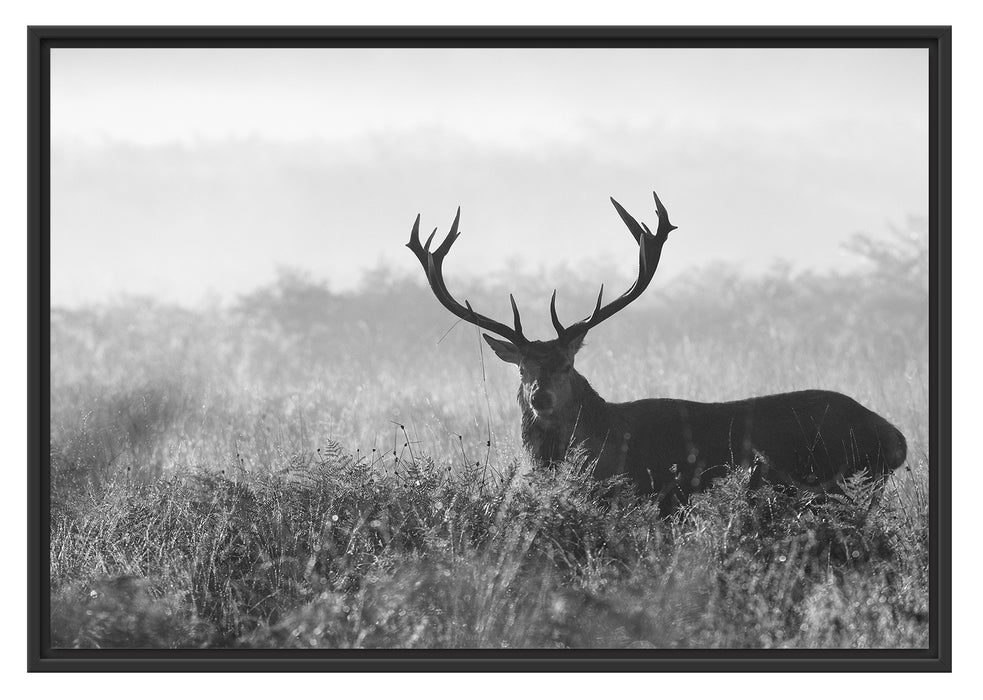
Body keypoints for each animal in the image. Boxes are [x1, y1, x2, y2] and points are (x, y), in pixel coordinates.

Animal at [406, 194, 908, 512]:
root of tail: (896, 439)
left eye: (567, 365)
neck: (606, 444)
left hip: (834, 480)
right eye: (523, 367)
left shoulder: (657, 495)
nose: (539, 397)